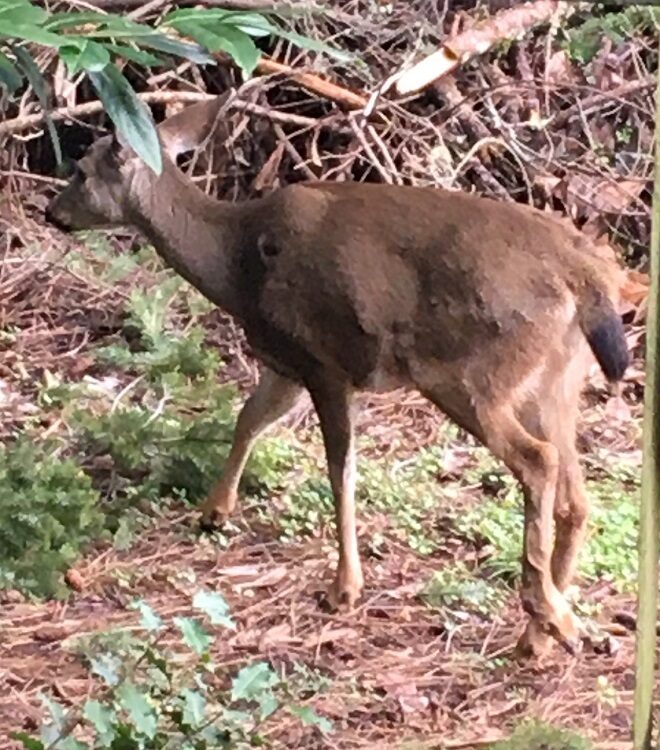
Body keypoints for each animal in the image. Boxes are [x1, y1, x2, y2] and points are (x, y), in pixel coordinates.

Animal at [46, 92, 628, 656]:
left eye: (80, 170)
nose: (53, 212)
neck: (235, 265)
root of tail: (588, 277)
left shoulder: (324, 362)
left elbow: (339, 468)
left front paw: (344, 586)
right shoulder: (286, 362)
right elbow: (249, 418)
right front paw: (216, 510)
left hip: (471, 373)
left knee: (538, 461)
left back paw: (550, 614)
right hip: (557, 380)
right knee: (576, 499)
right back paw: (540, 635)